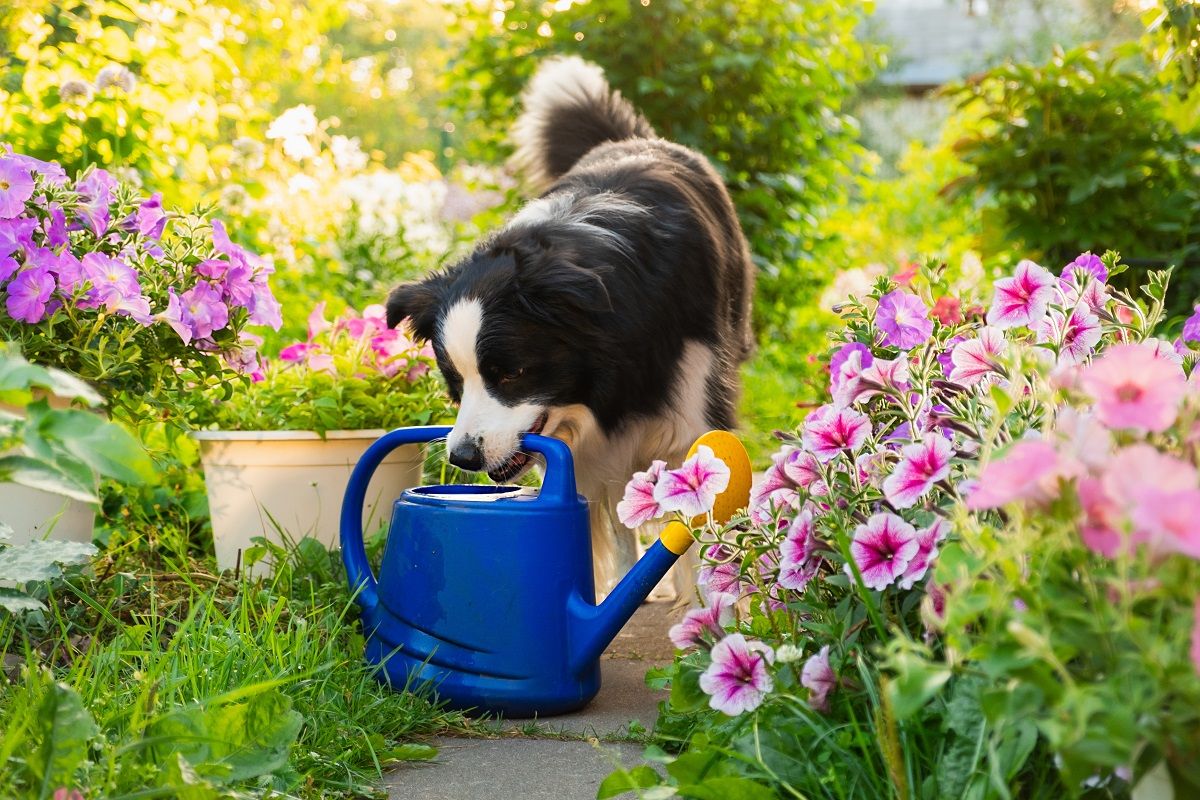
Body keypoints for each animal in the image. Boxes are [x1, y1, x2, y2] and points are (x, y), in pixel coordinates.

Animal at [388, 57, 753, 599]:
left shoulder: (692, 395)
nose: (463, 458)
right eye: (454, 381)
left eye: (511, 373)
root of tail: (633, 137)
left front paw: (708, 610)